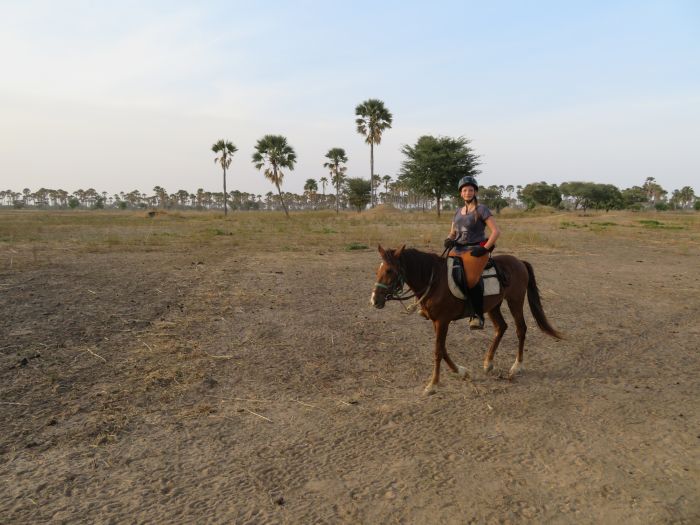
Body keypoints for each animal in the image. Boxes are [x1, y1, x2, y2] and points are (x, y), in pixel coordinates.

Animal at [372, 244, 564, 390]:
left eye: (389, 271)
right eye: (377, 270)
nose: (374, 300)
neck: (434, 281)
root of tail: (519, 262)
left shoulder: (442, 321)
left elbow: (438, 350)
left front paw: (433, 384)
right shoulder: (436, 321)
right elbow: (443, 349)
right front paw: (461, 372)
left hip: (515, 301)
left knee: (520, 329)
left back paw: (517, 366)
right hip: (493, 306)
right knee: (501, 327)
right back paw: (488, 362)